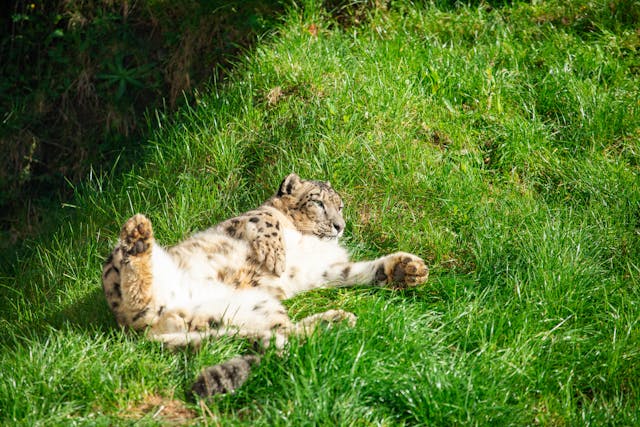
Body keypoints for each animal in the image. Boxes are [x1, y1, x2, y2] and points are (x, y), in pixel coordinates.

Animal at [101, 173, 429, 397]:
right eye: (318, 202)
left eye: (341, 206)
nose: (339, 226)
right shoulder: (242, 219)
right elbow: (266, 218)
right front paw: (275, 256)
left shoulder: (325, 269)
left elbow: (355, 271)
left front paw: (406, 270)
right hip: (116, 270)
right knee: (137, 292)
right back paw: (138, 236)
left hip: (256, 308)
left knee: (288, 335)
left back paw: (335, 321)